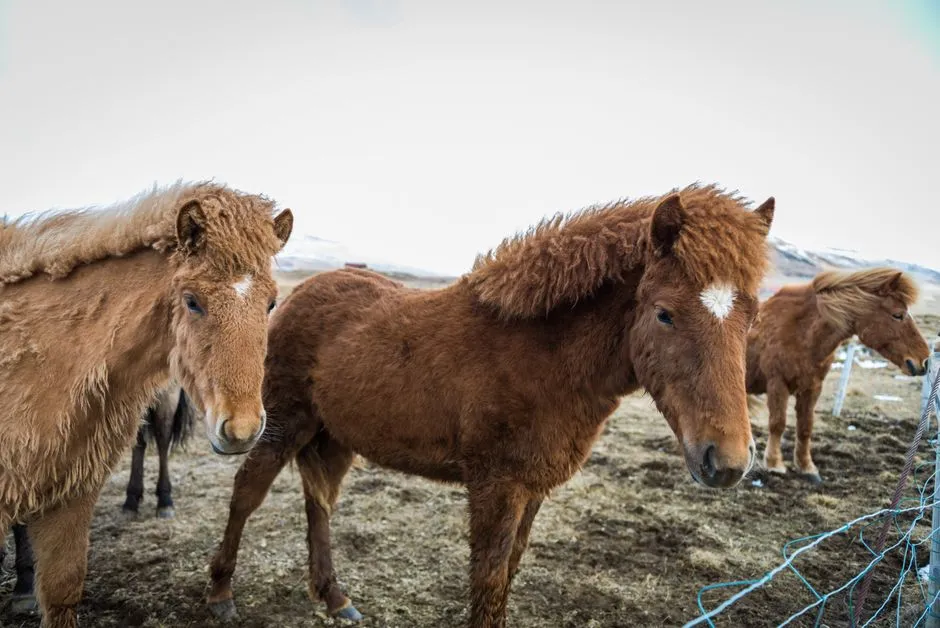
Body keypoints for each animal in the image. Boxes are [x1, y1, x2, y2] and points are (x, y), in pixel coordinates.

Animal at [206, 183, 776, 628]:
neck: (544, 357)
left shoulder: (533, 489)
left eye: (754, 315)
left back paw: (334, 597)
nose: (727, 462)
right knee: (247, 493)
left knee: (318, 501)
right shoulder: (496, 488)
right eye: (664, 314)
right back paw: (221, 593)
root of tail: (298, 295)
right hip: (282, 424)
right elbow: (488, 579)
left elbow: (508, 574)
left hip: (333, 436)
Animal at [746, 268, 930, 483]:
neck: (801, 333)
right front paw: (774, 464)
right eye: (898, 315)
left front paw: (807, 467)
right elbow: (778, 424)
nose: (924, 361)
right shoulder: (777, 383)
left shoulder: (812, 388)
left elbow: (805, 427)